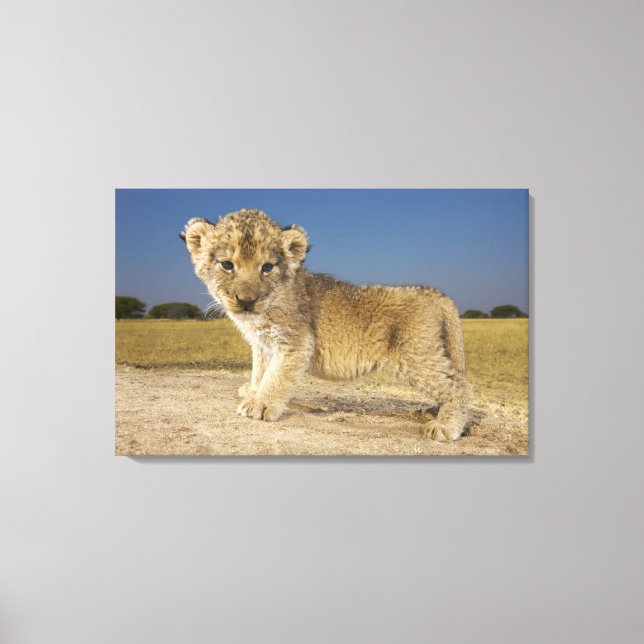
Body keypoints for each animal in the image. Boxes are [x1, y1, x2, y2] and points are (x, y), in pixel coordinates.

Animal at [181, 208, 471, 441]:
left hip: (415, 355)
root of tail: (435, 293)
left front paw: (260, 404)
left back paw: (446, 426)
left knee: (459, 384)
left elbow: (275, 376)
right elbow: (260, 370)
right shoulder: (262, 344)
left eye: (267, 267)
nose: (247, 301)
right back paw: (433, 412)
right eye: (227, 265)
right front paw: (252, 391)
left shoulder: (296, 343)